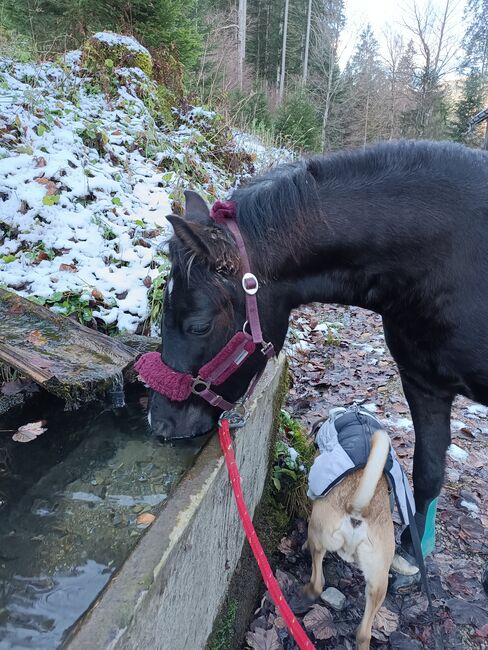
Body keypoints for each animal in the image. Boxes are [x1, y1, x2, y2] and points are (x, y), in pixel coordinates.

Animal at [150, 140, 488, 588]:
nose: (159, 422)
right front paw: (413, 554)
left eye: (199, 325)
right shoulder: (425, 383)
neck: (454, 258)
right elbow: (429, 469)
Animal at [304, 430, 394, 648]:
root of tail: (359, 510)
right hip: (379, 582)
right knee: (364, 633)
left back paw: (309, 590)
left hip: (318, 533)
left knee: (318, 581)